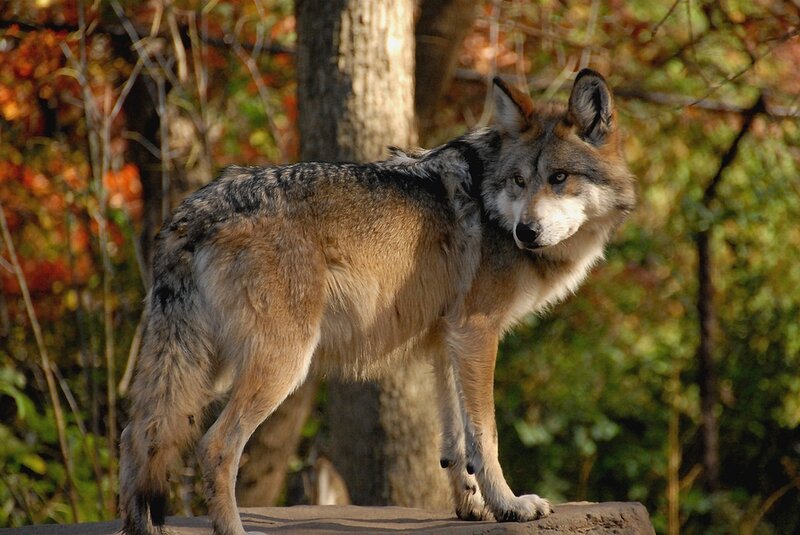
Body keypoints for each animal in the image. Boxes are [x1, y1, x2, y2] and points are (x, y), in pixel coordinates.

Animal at [119, 69, 636, 535]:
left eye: (559, 177)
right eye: (519, 181)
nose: (525, 232)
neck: (491, 197)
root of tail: (191, 212)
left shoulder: (446, 341)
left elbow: (456, 443)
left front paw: (473, 508)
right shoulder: (477, 332)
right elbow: (484, 436)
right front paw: (509, 505)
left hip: (204, 370)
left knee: (137, 437)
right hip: (279, 366)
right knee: (215, 448)